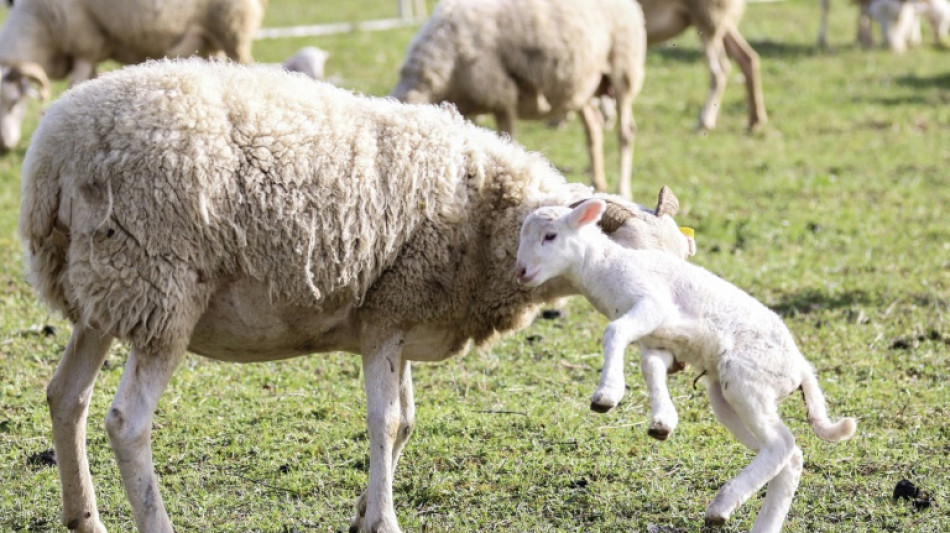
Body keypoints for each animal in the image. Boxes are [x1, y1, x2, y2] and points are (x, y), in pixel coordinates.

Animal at [0, 0, 268, 152]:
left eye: (14, 102)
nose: (4, 146)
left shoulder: (85, 46)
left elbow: (74, 86)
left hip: (232, 28)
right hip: (212, 41)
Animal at [390, 0, 652, 200]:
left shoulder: (502, 95)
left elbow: (508, 142)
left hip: (623, 67)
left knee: (626, 132)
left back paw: (623, 189)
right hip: (583, 83)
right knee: (594, 127)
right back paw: (598, 182)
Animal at [516, 198, 860, 532]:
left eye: (550, 236)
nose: (521, 272)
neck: (608, 266)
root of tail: (801, 367)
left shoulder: (652, 304)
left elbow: (614, 332)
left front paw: (606, 396)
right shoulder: (658, 340)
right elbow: (651, 367)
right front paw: (662, 421)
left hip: (748, 382)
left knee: (781, 444)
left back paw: (721, 507)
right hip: (728, 400)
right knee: (790, 456)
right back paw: (759, 523)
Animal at [640, 0, 768, 132]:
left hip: (707, 16)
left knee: (720, 71)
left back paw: (704, 122)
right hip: (718, 19)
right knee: (747, 58)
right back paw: (755, 121)